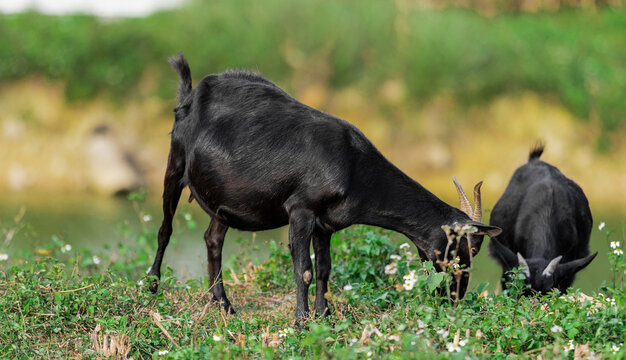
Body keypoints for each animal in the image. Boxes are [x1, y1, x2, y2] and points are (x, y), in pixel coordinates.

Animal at [149, 52, 500, 320]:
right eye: (466, 249)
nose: (455, 296)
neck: (353, 166)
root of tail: (190, 93)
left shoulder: (326, 223)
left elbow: (324, 269)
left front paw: (323, 316)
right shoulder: (300, 209)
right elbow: (303, 269)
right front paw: (302, 321)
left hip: (223, 197)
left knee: (213, 240)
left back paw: (222, 304)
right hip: (175, 162)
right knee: (165, 229)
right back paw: (153, 286)